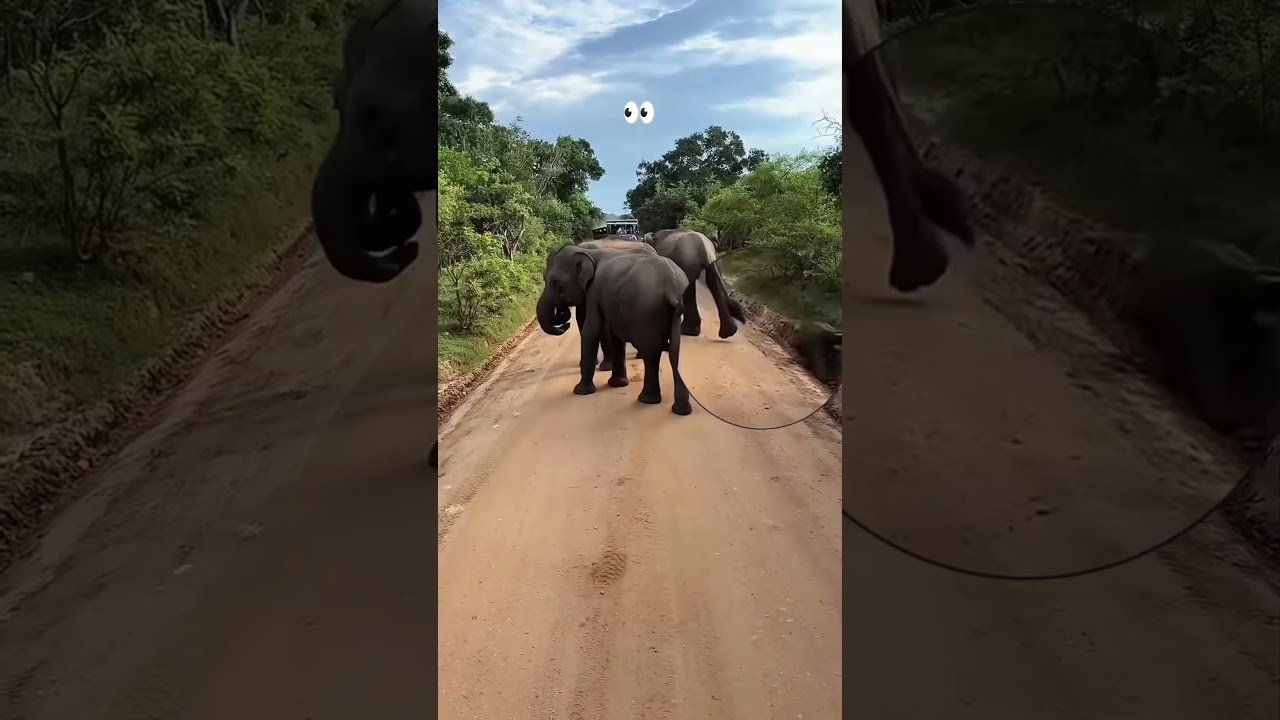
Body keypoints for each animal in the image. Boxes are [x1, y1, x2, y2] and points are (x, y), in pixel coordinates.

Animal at [540, 245, 693, 415]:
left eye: (555, 282)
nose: (564, 317)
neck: (588, 252)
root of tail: (672, 285)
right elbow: (614, 336)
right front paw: (618, 384)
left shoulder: (594, 290)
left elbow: (591, 330)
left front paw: (580, 391)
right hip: (673, 312)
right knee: (674, 352)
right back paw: (681, 410)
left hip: (645, 312)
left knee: (651, 353)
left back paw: (647, 400)